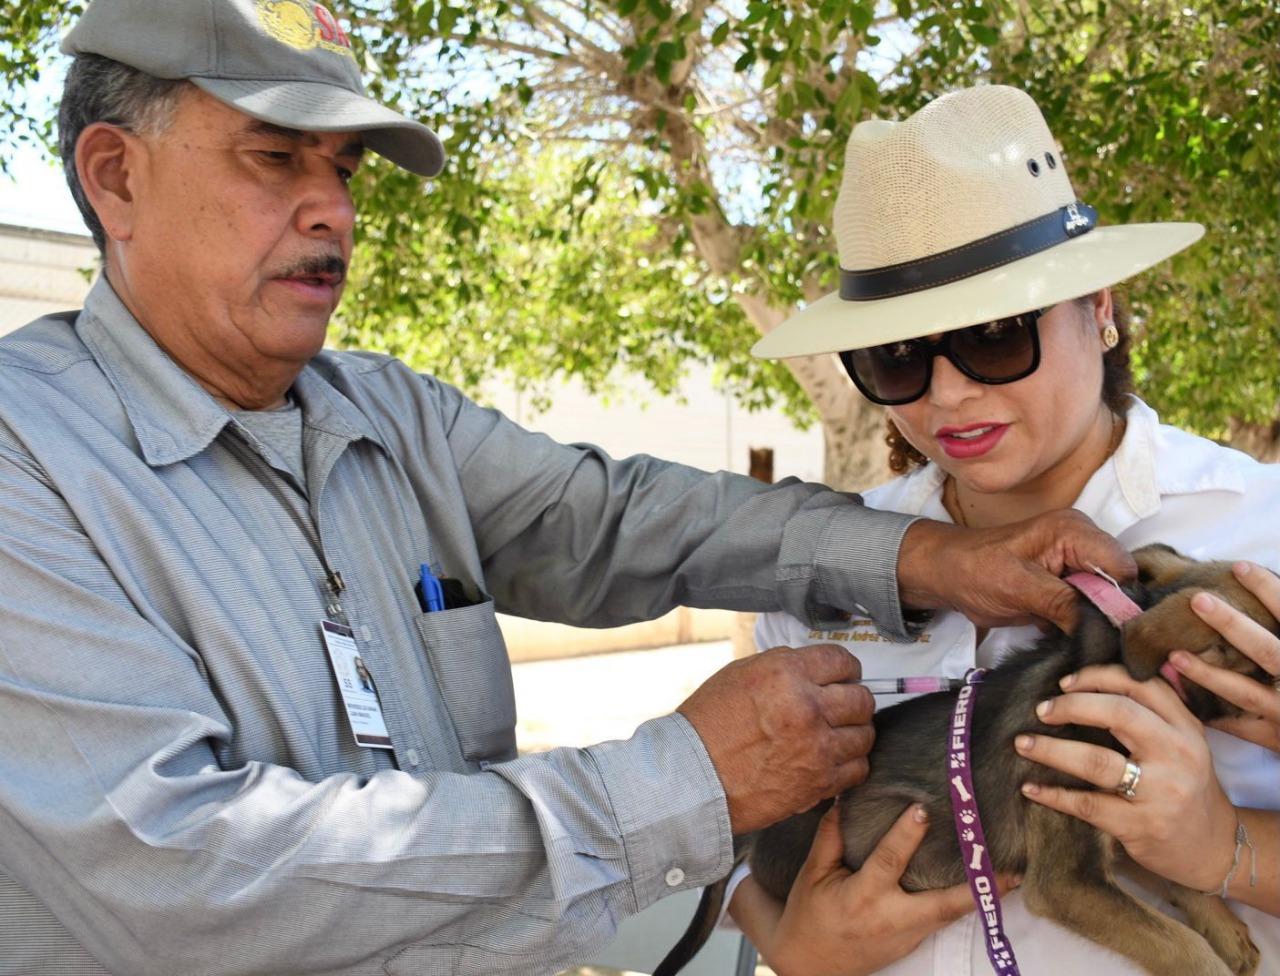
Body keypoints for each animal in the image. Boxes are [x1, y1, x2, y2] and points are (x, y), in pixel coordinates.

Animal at [655, 548, 1274, 973]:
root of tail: (757, 831)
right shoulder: (1068, 879)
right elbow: (1181, 946)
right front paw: (1211, 949)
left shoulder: (1119, 828)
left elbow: (1180, 875)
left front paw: (1227, 931)